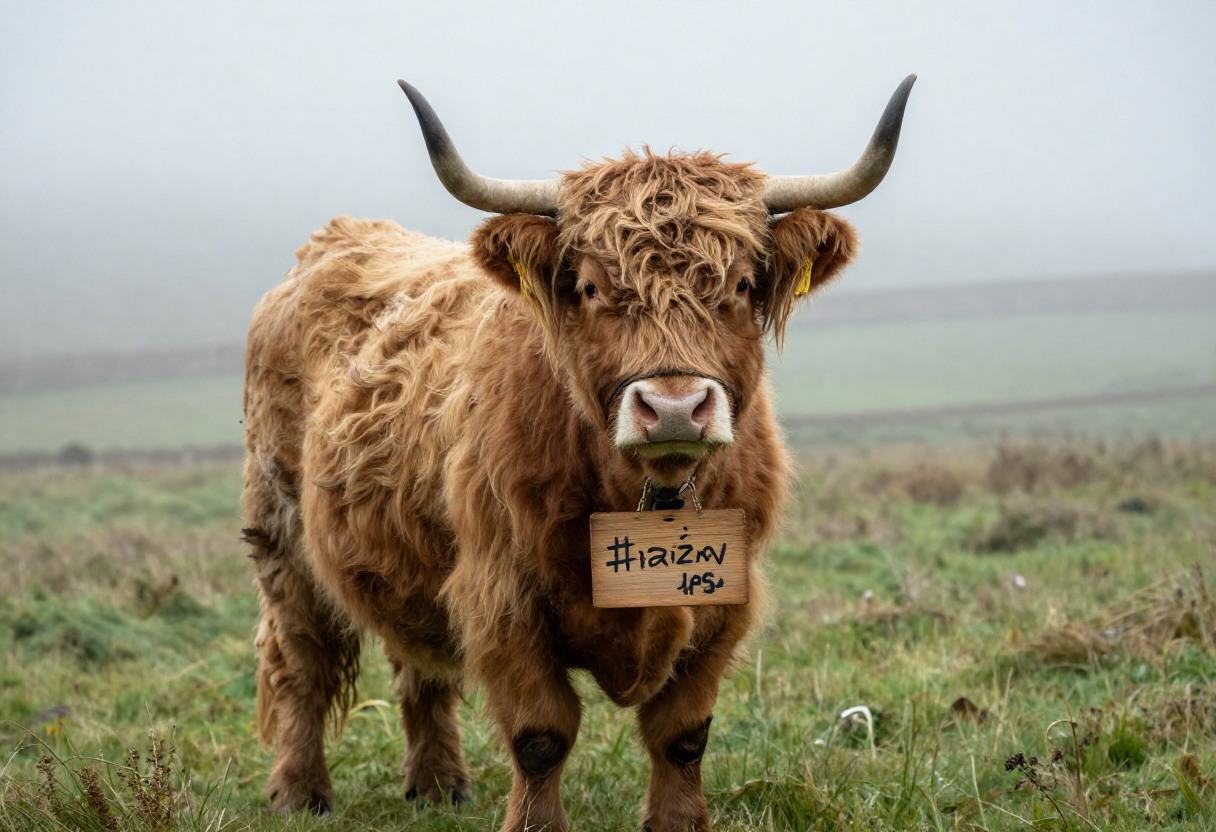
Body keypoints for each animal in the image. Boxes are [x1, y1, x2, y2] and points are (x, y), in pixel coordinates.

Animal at [241, 75, 915, 831]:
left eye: (741, 286)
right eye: (591, 288)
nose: (674, 408)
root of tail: (337, 238)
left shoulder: (723, 601)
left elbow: (683, 734)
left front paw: (678, 822)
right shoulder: (501, 598)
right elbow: (542, 734)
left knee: (421, 662)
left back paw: (439, 782)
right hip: (281, 536)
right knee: (299, 662)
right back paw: (300, 791)